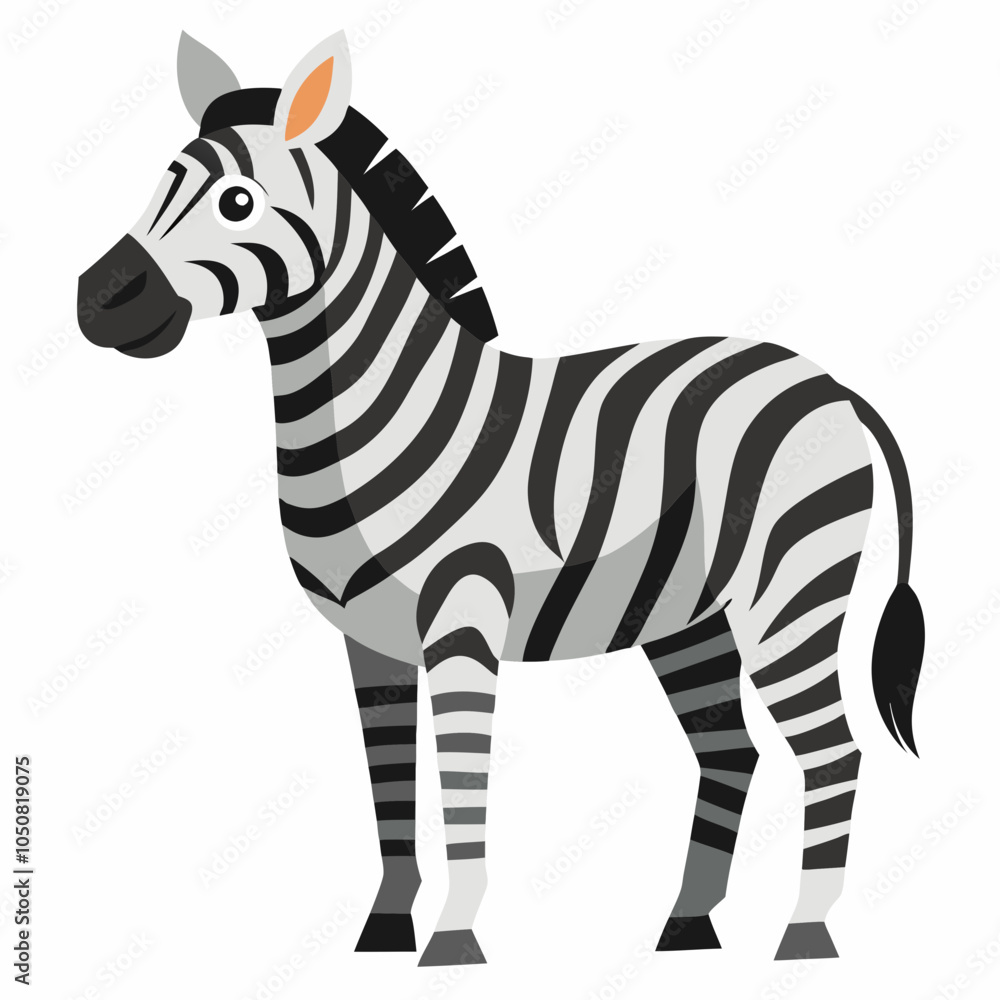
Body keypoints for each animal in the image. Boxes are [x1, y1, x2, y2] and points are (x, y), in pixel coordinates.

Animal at [76, 30, 925, 966]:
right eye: (161, 180)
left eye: (236, 202)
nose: (95, 303)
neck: (379, 411)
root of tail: (833, 385)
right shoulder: (368, 644)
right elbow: (392, 788)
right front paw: (384, 930)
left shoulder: (462, 619)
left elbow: (460, 786)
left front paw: (453, 939)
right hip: (687, 619)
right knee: (732, 748)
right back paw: (685, 929)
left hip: (791, 591)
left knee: (833, 750)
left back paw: (803, 934)